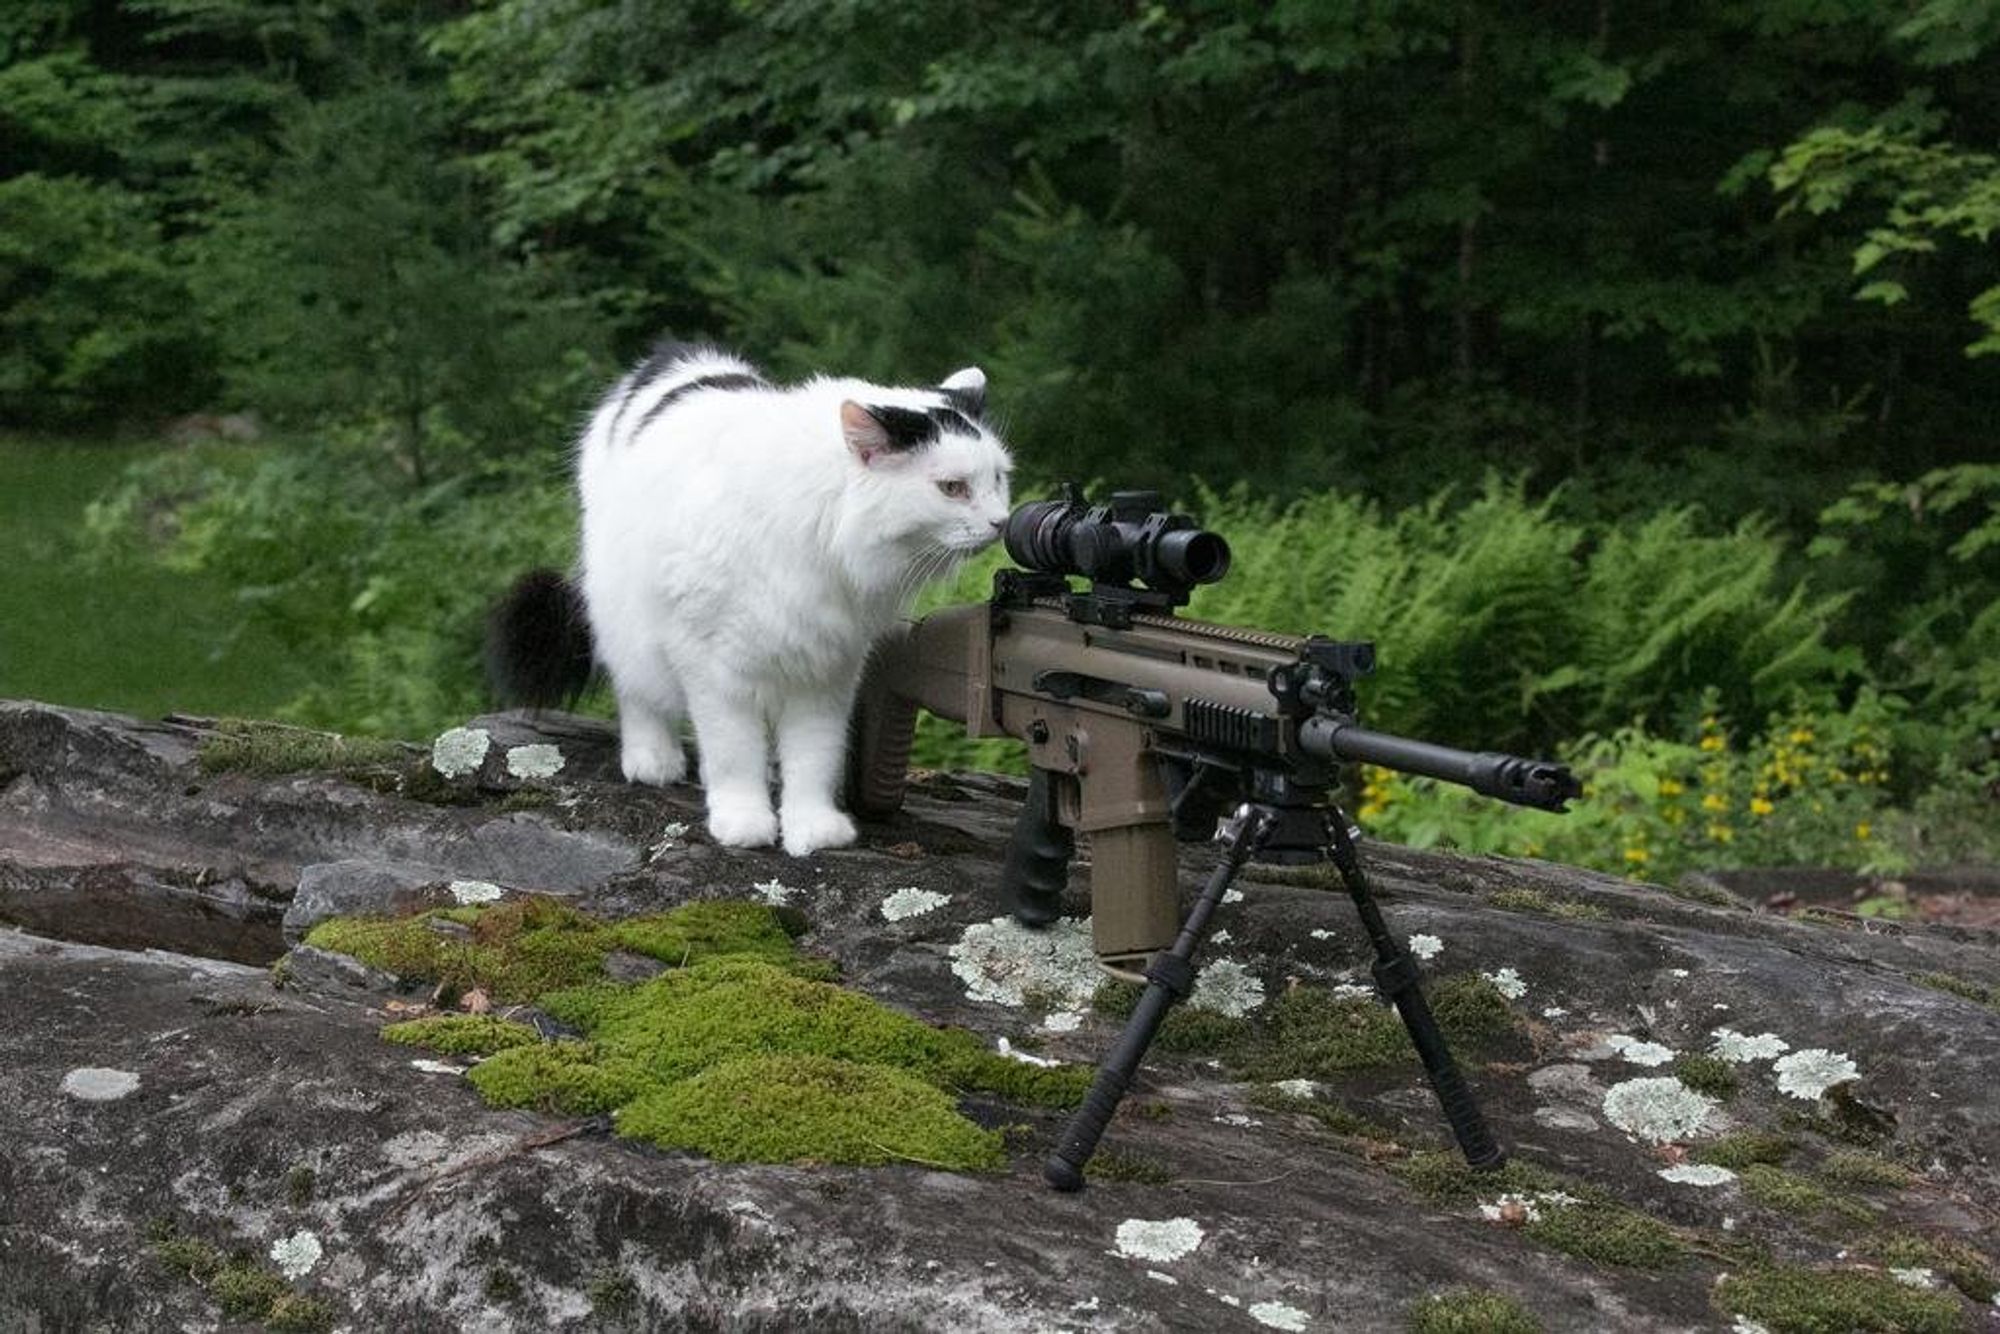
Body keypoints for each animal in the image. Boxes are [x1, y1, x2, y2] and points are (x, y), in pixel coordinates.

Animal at [486, 344, 1016, 856]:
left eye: (998, 480)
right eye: (952, 488)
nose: (1001, 522)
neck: (820, 537)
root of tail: (676, 353)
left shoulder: (828, 668)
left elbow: (814, 755)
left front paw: (812, 827)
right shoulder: (713, 666)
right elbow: (733, 751)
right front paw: (742, 820)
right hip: (624, 616)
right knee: (636, 690)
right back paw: (653, 759)